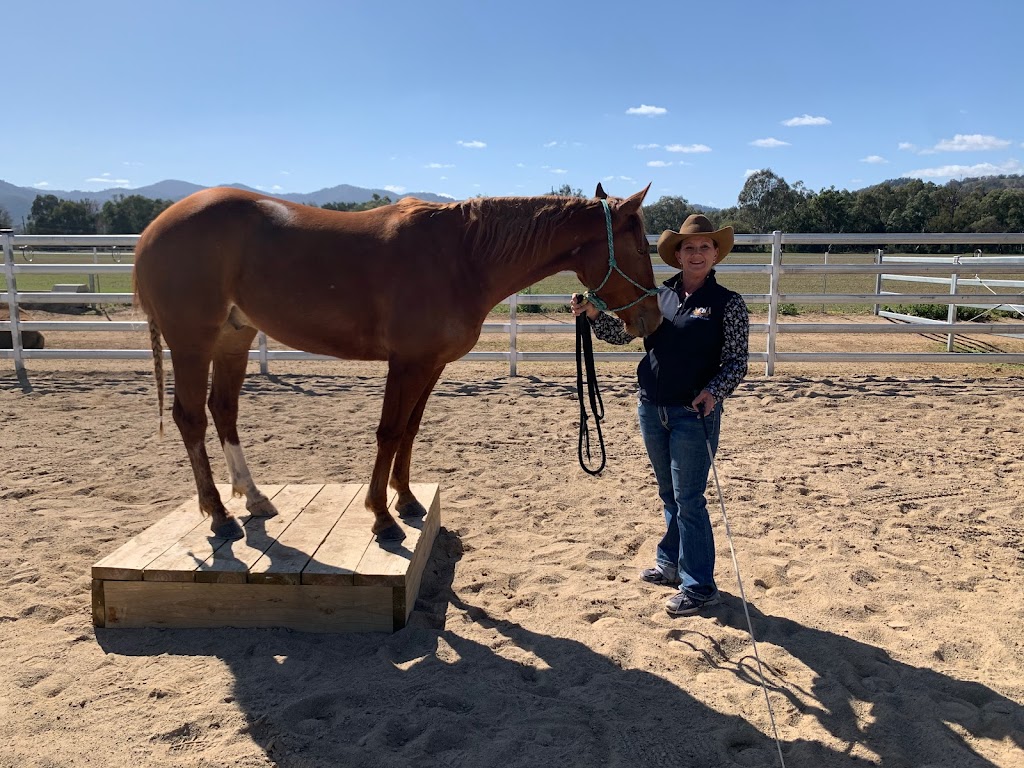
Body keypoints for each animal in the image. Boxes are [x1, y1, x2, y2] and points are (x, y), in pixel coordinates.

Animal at [134, 182, 663, 540]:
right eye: (641, 246)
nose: (653, 318)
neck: (462, 257)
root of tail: (152, 231)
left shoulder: (431, 364)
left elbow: (410, 429)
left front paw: (406, 500)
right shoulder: (406, 363)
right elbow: (389, 431)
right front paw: (381, 516)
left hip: (233, 339)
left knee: (224, 411)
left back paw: (254, 498)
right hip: (192, 342)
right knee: (190, 418)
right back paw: (219, 514)